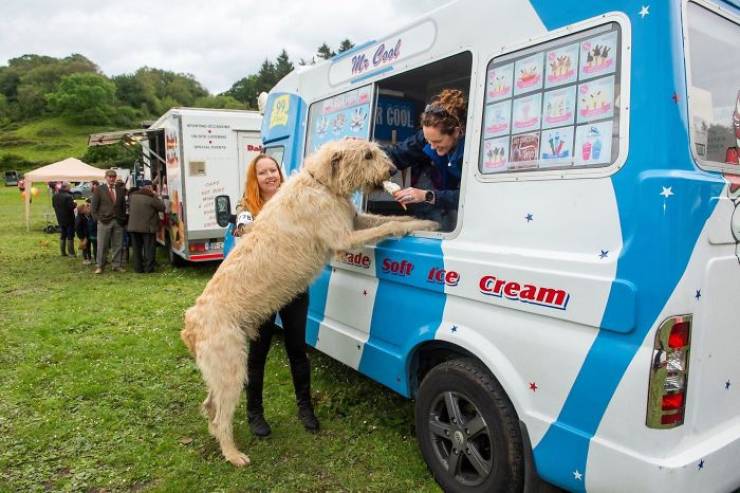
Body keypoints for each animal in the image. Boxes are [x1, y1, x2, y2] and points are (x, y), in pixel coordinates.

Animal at [182, 138, 436, 466]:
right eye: (367, 155)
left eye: (376, 151)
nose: (392, 170)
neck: (323, 184)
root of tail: (191, 324)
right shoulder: (343, 237)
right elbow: (383, 228)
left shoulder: (355, 219)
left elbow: (389, 219)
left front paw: (423, 221)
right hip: (230, 366)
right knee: (221, 414)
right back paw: (233, 454)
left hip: (219, 369)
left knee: (210, 406)